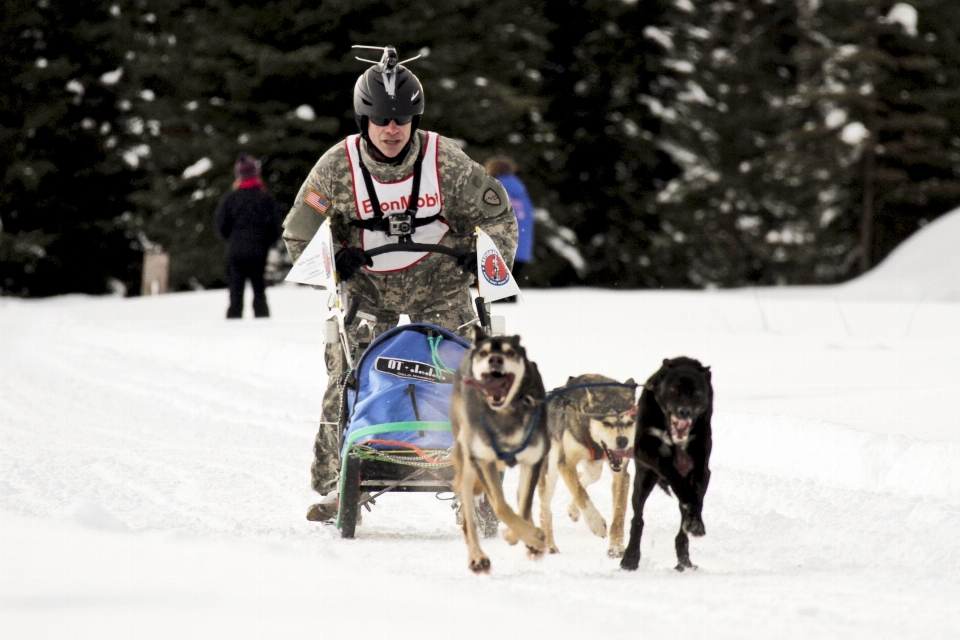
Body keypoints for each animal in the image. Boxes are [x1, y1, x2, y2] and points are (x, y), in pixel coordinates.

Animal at [450, 328, 548, 572]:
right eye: (484, 353)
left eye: (510, 352)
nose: (495, 359)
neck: (505, 413)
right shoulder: (483, 460)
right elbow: (501, 507)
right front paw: (528, 535)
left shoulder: (533, 460)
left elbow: (523, 506)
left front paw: (527, 538)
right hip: (467, 462)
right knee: (468, 518)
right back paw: (477, 557)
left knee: (520, 499)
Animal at [540, 372, 636, 556]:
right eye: (606, 422)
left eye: (629, 423)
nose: (623, 441)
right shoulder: (565, 464)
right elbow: (580, 494)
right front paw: (596, 524)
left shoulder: (621, 473)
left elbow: (619, 513)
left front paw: (616, 548)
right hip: (550, 471)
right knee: (545, 509)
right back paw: (549, 546)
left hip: (594, 467)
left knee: (586, 477)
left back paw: (573, 510)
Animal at [624, 358, 712, 572]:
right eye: (674, 390)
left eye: (697, 393)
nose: (684, 411)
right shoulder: (646, 450)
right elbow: (671, 474)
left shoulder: (701, 468)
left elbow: (696, 498)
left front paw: (695, 522)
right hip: (643, 481)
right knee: (637, 518)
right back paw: (630, 557)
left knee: (681, 531)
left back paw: (684, 561)